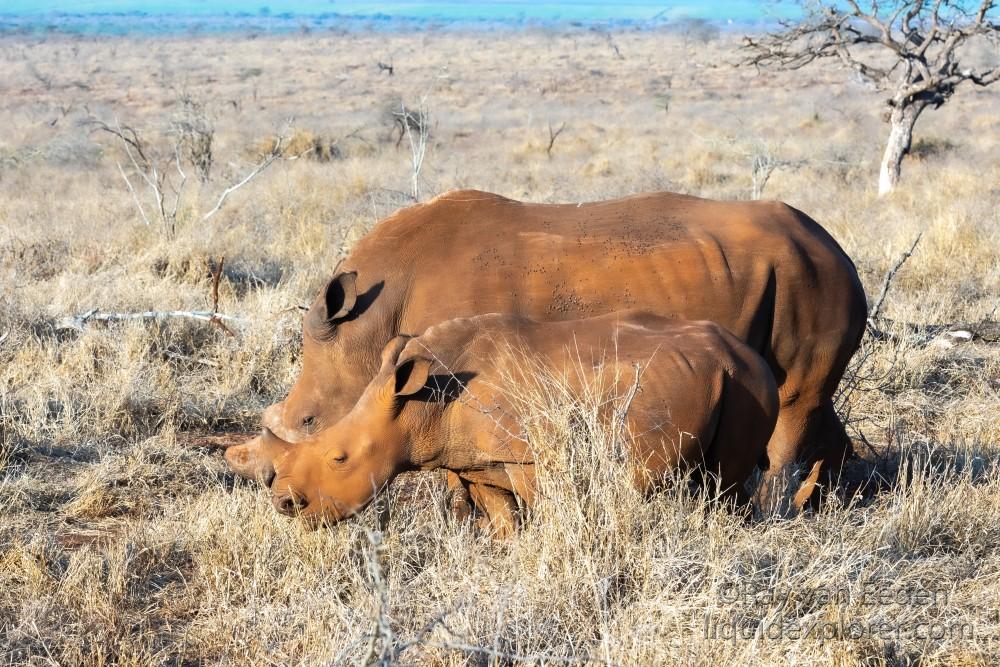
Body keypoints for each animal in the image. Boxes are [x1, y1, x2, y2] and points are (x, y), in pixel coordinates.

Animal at [227, 190, 868, 504]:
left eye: (309, 422)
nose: (275, 493)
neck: (367, 326)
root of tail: (837, 246)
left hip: (814, 277)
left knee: (796, 401)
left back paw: (783, 507)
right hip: (798, 273)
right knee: (810, 399)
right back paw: (830, 502)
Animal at [260, 310, 780, 536]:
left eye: (339, 457)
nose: (284, 504)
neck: (421, 406)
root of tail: (757, 359)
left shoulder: (529, 457)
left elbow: (544, 510)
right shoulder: (474, 461)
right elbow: (503, 517)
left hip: (747, 383)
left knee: (727, 483)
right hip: (724, 376)